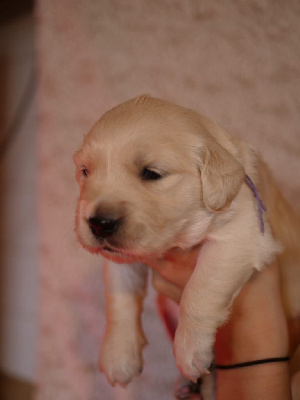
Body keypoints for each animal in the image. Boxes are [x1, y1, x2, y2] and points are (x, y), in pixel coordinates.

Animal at [73, 95, 300, 392]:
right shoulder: (121, 258)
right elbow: (119, 296)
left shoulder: (242, 233)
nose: (99, 223)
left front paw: (190, 350)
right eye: (85, 171)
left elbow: (200, 288)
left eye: (151, 173)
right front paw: (118, 354)